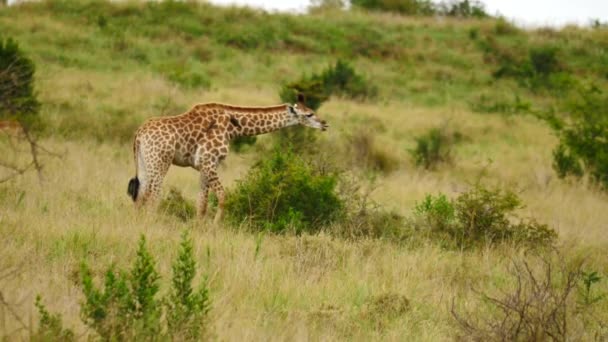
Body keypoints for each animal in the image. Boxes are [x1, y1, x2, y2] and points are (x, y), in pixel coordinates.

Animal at [127, 94, 328, 222]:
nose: (325, 124)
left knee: (140, 195)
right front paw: (215, 227)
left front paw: (198, 229)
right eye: (309, 114)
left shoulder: (204, 166)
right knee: (152, 196)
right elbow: (223, 196)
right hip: (160, 162)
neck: (233, 128)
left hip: (144, 162)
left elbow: (202, 203)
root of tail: (139, 133)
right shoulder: (209, 161)